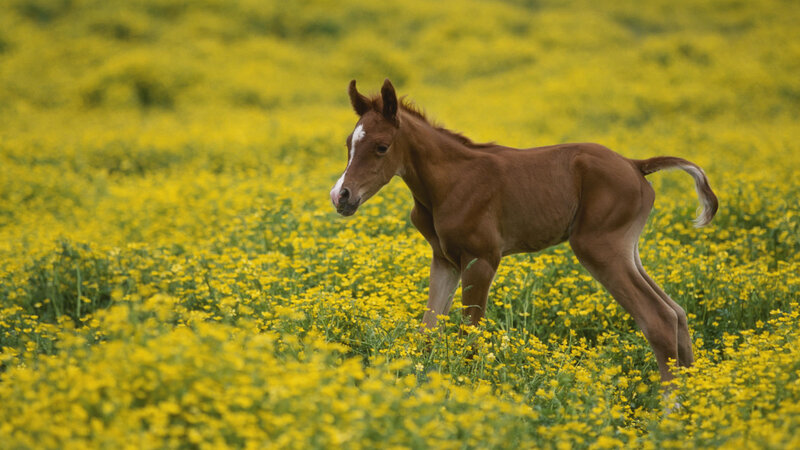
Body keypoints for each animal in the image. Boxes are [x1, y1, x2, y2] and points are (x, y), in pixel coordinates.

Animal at [330, 79, 718, 383]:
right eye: (349, 143)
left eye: (381, 147)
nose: (341, 196)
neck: (449, 182)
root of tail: (636, 165)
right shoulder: (445, 260)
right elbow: (428, 328)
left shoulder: (482, 259)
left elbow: (470, 334)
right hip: (627, 250)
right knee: (677, 312)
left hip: (599, 248)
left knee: (658, 318)